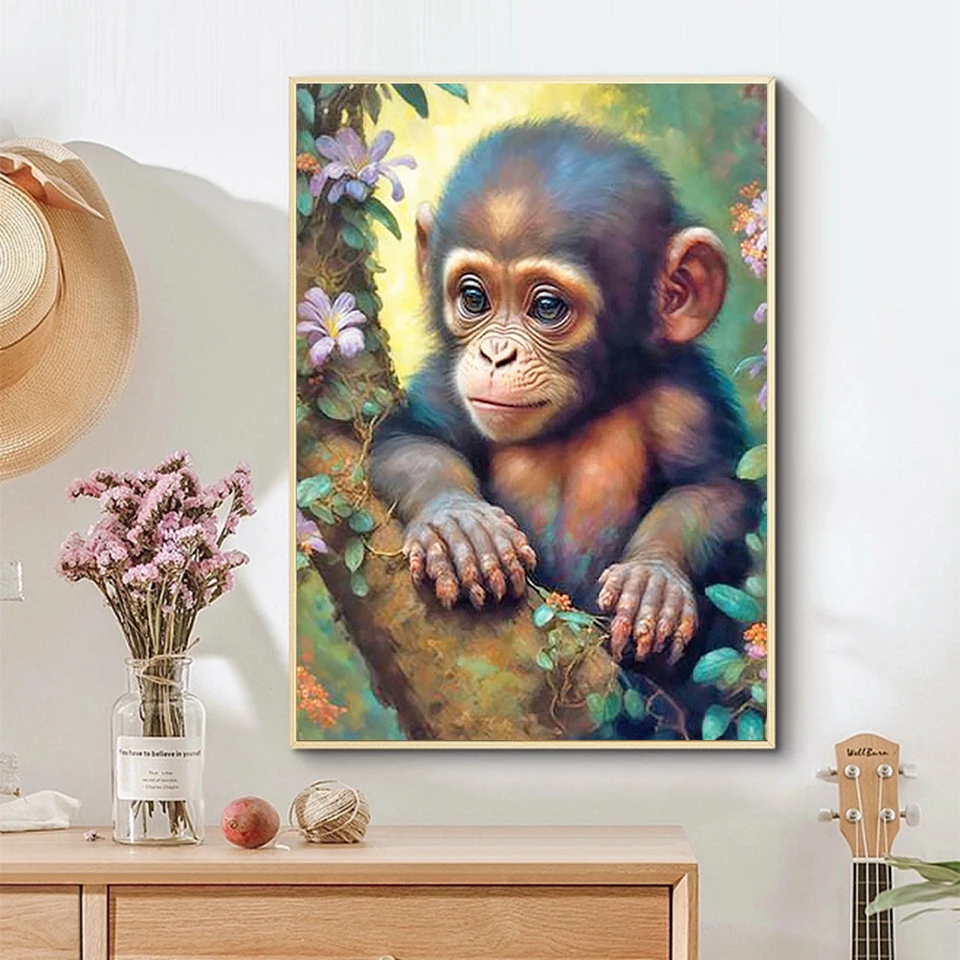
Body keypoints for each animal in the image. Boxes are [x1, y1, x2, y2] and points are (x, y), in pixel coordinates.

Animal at [369, 120, 758, 667]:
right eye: (474, 298)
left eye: (547, 307)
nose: (496, 355)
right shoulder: (445, 382)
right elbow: (409, 438)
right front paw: (458, 523)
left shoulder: (685, 401)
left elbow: (715, 489)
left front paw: (654, 577)